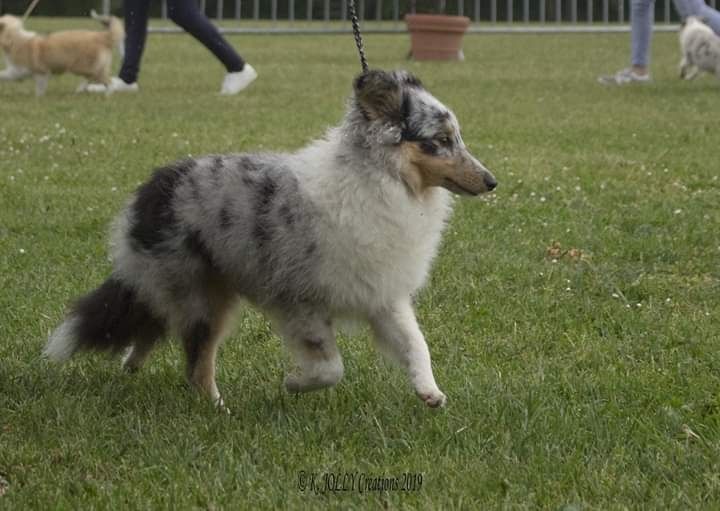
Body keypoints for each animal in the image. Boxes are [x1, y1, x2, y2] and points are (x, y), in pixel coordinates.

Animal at [43, 70, 496, 410]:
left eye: (457, 137)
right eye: (440, 141)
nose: (492, 181)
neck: (381, 180)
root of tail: (152, 189)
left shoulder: (382, 294)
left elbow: (416, 344)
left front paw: (429, 391)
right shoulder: (302, 302)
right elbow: (331, 367)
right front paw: (293, 383)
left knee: (154, 324)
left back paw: (132, 365)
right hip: (202, 297)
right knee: (196, 363)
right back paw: (217, 408)